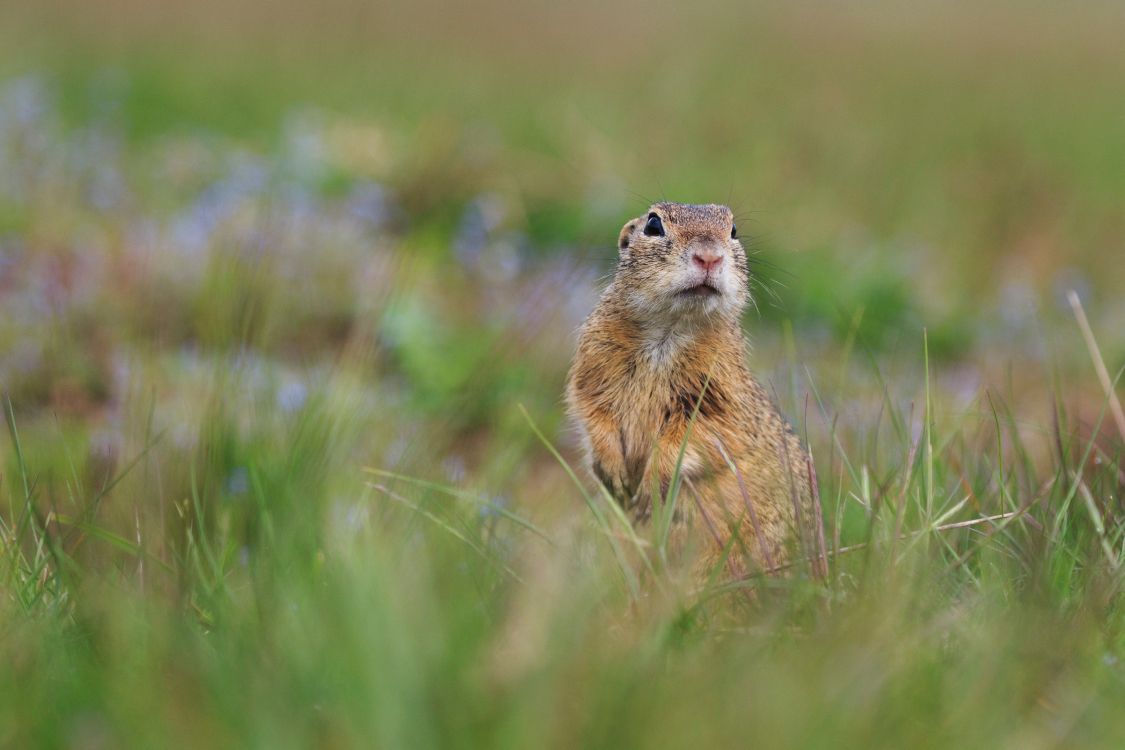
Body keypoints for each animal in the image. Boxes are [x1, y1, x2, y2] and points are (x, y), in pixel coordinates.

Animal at [567, 201, 823, 580]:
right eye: (653, 225)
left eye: (733, 230)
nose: (709, 257)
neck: (670, 329)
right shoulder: (592, 366)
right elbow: (592, 411)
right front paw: (614, 474)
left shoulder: (722, 394)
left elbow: (702, 434)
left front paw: (649, 488)